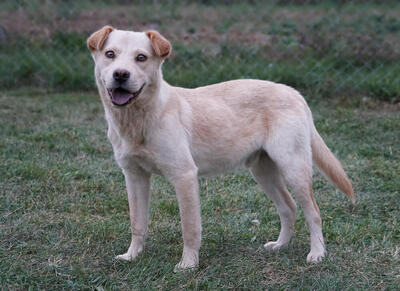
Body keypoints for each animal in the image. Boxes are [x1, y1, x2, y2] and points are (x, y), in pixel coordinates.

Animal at [86, 26, 354, 272]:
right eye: (110, 54)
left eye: (141, 57)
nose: (121, 74)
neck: (138, 120)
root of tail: (294, 92)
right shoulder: (134, 176)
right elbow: (137, 222)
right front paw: (132, 256)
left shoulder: (184, 176)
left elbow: (190, 227)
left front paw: (188, 264)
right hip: (263, 172)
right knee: (289, 207)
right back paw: (280, 246)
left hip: (293, 168)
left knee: (314, 212)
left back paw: (317, 253)